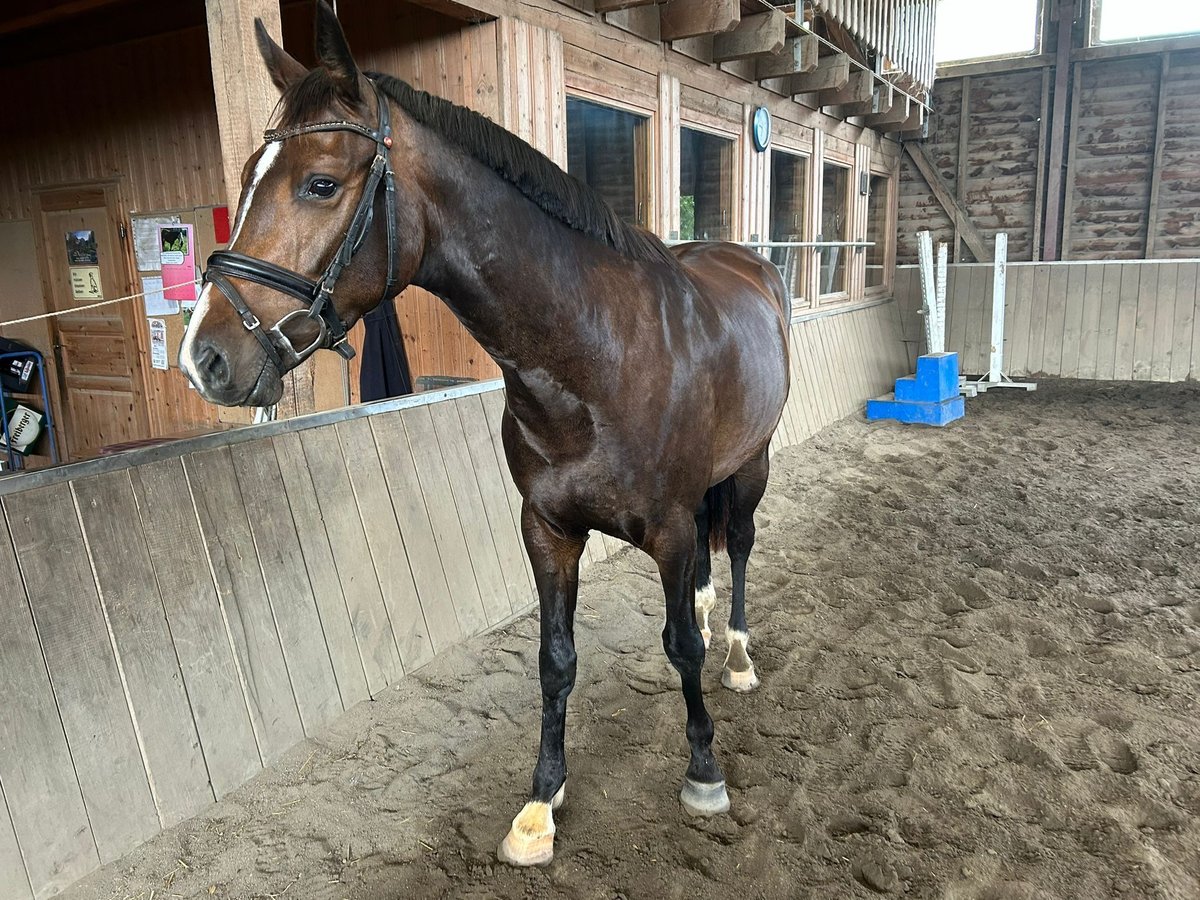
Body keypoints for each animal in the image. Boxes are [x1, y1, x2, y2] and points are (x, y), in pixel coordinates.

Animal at [177, 3, 792, 868]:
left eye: (321, 183)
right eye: (244, 179)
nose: (204, 357)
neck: (599, 358)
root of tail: (748, 263)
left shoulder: (669, 530)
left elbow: (679, 648)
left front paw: (704, 771)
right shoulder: (547, 531)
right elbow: (556, 660)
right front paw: (540, 803)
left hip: (752, 466)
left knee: (734, 548)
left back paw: (736, 653)